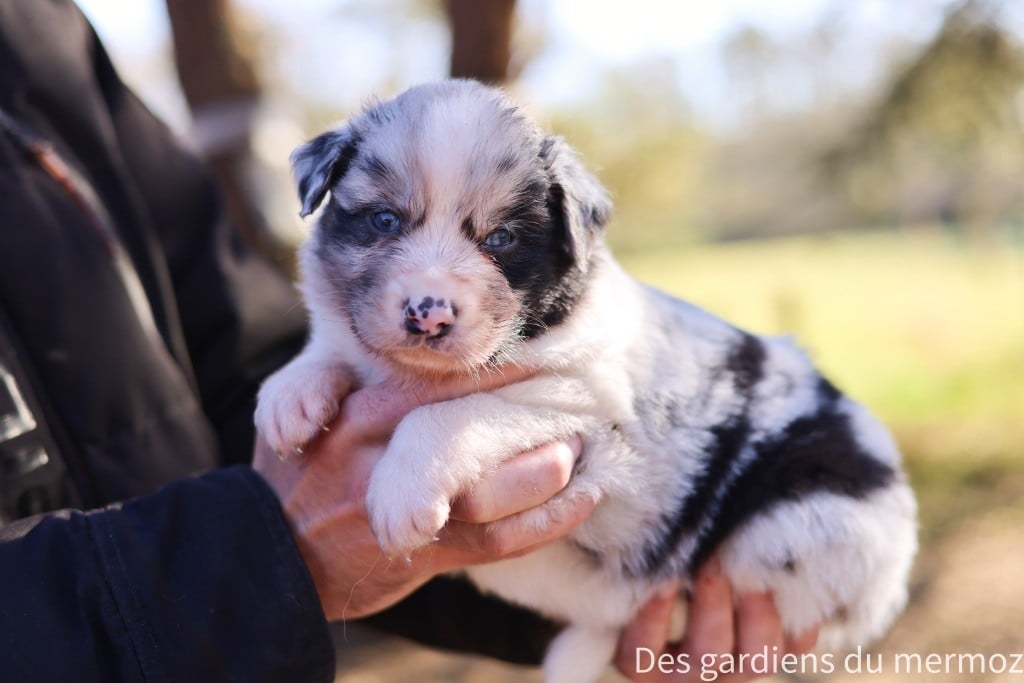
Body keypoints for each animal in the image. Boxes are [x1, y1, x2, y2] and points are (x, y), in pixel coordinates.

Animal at [256, 80, 921, 683]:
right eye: (383, 220)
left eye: (502, 238)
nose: (429, 314)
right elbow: (331, 349)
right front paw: (289, 398)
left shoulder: (579, 399)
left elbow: (448, 415)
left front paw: (401, 498)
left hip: (796, 527)